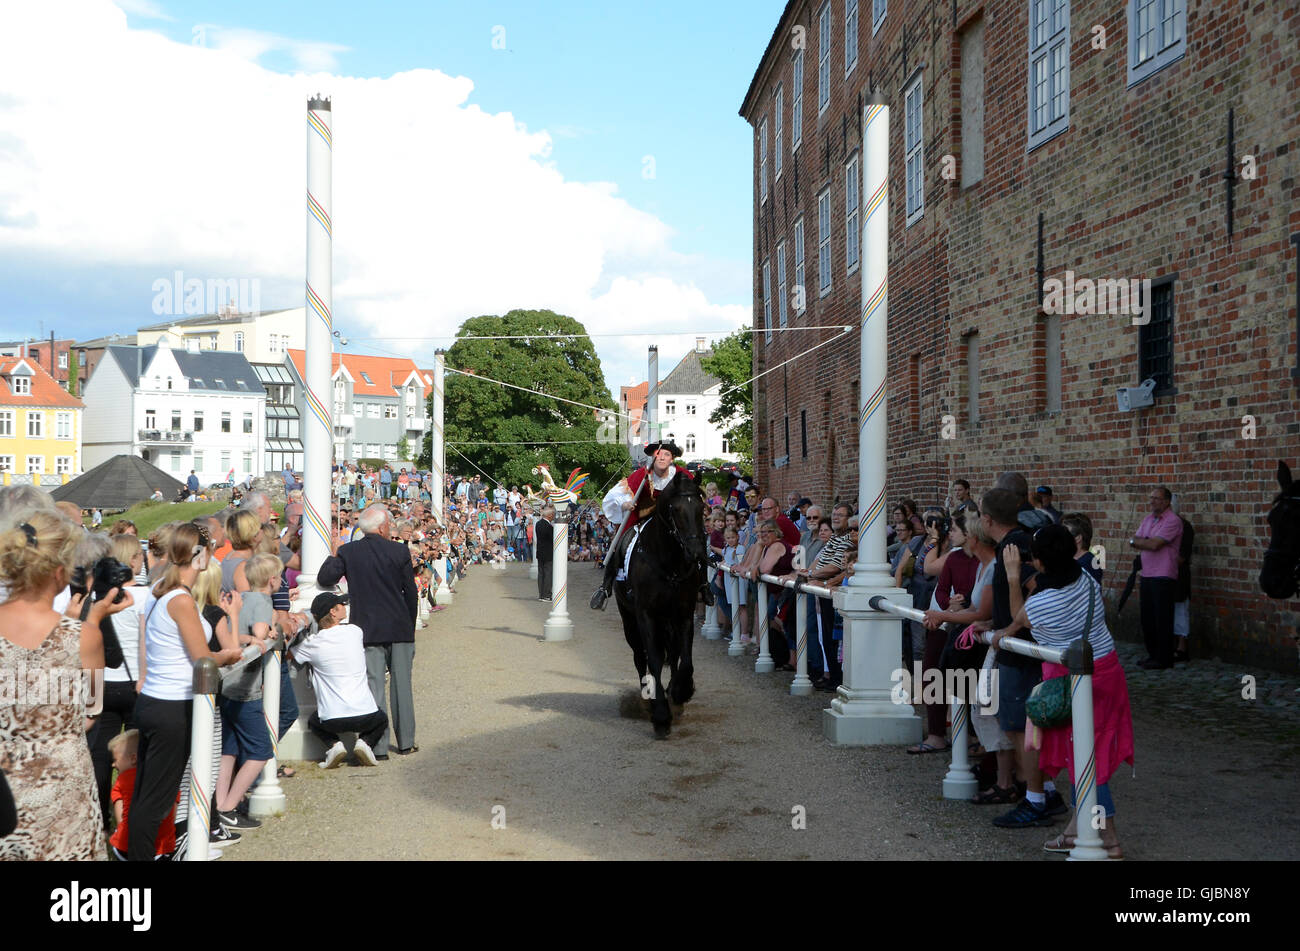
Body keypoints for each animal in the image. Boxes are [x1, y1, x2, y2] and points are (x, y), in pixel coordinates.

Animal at [613, 472, 707, 737]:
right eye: (676, 509)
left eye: (701, 508)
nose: (696, 552)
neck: (669, 563)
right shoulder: (646, 616)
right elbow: (653, 659)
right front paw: (661, 715)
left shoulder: (683, 614)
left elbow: (685, 660)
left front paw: (680, 691)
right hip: (629, 622)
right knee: (639, 658)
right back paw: (648, 696)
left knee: (673, 655)